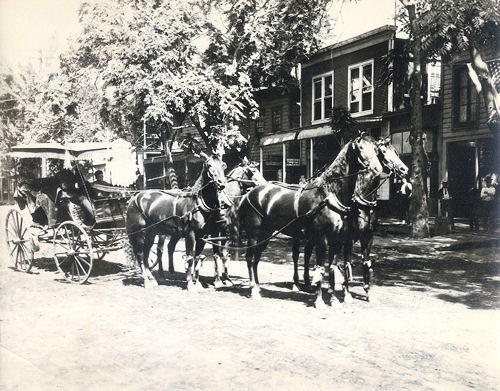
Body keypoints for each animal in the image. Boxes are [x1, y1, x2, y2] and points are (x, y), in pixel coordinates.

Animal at [126, 152, 228, 290]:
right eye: (209, 165)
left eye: (223, 165)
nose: (221, 183)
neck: (197, 203)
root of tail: (134, 198)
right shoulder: (191, 234)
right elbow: (190, 257)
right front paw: (190, 284)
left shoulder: (202, 236)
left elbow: (197, 257)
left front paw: (197, 283)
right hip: (139, 233)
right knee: (141, 255)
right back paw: (147, 281)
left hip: (151, 233)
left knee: (146, 254)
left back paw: (152, 279)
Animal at [227, 136, 382, 308]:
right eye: (360, 148)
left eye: (376, 150)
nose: (377, 169)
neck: (330, 193)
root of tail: (248, 195)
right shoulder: (322, 238)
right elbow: (320, 268)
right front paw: (319, 300)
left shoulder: (337, 240)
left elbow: (332, 268)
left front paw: (334, 300)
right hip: (254, 234)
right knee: (249, 258)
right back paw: (253, 289)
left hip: (265, 235)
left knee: (256, 259)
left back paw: (258, 287)